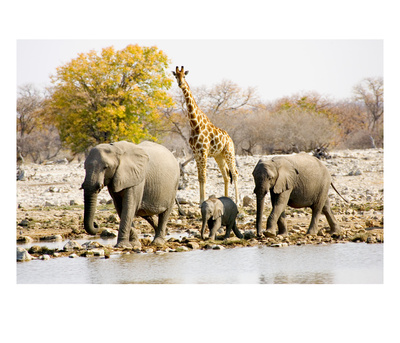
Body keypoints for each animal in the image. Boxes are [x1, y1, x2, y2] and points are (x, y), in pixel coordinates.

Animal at [172, 66, 238, 204]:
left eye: (184, 76)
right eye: (176, 76)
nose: (180, 84)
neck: (194, 124)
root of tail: (230, 139)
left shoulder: (203, 151)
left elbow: (203, 176)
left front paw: (202, 201)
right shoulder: (196, 153)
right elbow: (199, 177)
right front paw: (200, 201)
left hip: (229, 152)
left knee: (234, 173)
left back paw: (238, 201)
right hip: (219, 156)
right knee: (225, 175)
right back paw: (226, 198)